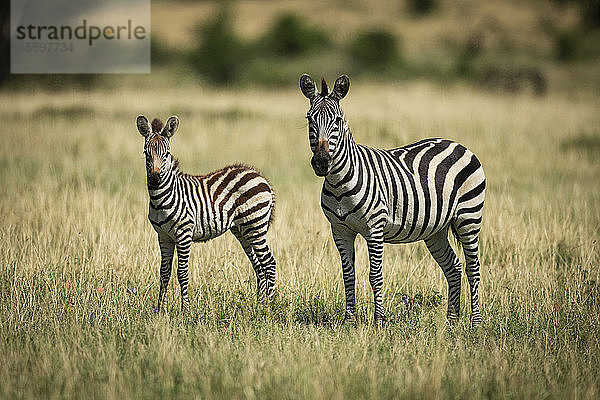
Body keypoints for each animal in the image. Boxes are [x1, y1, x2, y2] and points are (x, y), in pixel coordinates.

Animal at [135, 114, 276, 314]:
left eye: (166, 154)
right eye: (147, 153)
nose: (155, 180)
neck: (161, 197)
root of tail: (261, 176)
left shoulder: (183, 234)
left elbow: (182, 272)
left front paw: (185, 310)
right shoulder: (163, 236)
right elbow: (164, 273)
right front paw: (160, 310)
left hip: (255, 226)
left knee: (269, 263)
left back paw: (269, 307)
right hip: (242, 230)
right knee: (258, 266)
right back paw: (259, 304)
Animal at [300, 74, 488, 324]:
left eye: (337, 121)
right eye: (309, 119)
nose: (321, 163)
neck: (339, 183)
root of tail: (457, 144)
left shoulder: (374, 228)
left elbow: (375, 275)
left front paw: (379, 320)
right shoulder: (340, 230)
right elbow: (348, 275)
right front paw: (350, 320)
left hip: (469, 217)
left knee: (472, 268)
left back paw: (475, 322)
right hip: (436, 229)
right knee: (454, 267)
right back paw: (451, 321)